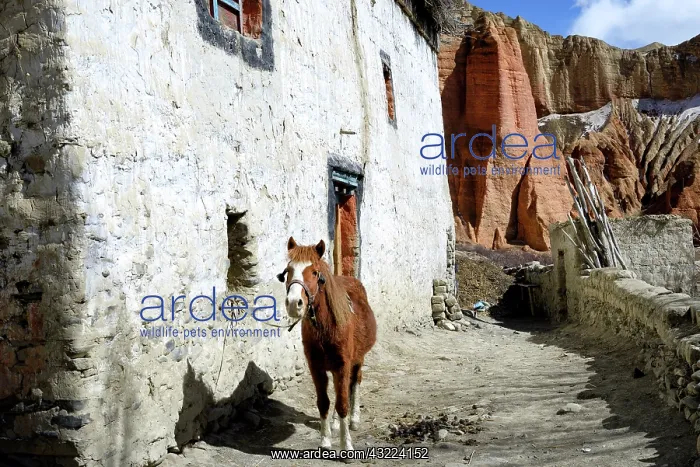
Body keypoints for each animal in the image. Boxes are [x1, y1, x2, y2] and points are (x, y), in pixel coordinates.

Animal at [277, 236, 377, 451]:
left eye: (315, 272)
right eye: (288, 271)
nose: (294, 303)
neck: (326, 327)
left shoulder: (343, 365)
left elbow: (343, 403)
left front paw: (346, 445)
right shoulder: (316, 367)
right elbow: (324, 402)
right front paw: (325, 441)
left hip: (357, 359)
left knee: (354, 382)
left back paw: (354, 420)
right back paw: (335, 423)